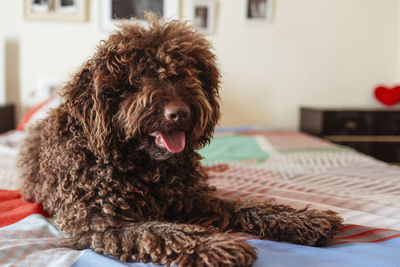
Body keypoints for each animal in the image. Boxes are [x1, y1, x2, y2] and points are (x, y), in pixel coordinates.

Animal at [18, 15, 342, 267]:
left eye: (187, 73)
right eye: (139, 78)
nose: (180, 113)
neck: (144, 167)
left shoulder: (193, 199)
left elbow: (243, 205)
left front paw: (298, 220)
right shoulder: (100, 223)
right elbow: (162, 230)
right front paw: (216, 245)